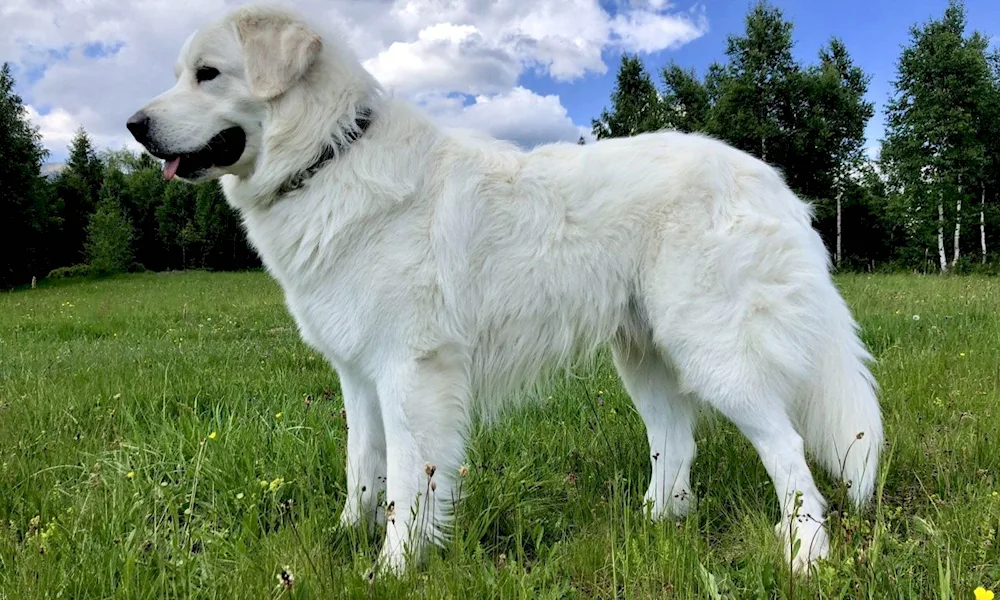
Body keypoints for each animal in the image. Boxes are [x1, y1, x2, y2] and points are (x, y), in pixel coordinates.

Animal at [127, 2, 884, 576]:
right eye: (180, 74)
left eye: (208, 75)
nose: (134, 126)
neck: (328, 156)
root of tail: (769, 179)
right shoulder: (359, 376)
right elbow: (361, 468)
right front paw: (344, 539)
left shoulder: (412, 373)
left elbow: (408, 481)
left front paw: (393, 569)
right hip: (646, 357)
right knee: (677, 443)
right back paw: (652, 525)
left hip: (717, 353)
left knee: (788, 453)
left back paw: (806, 555)